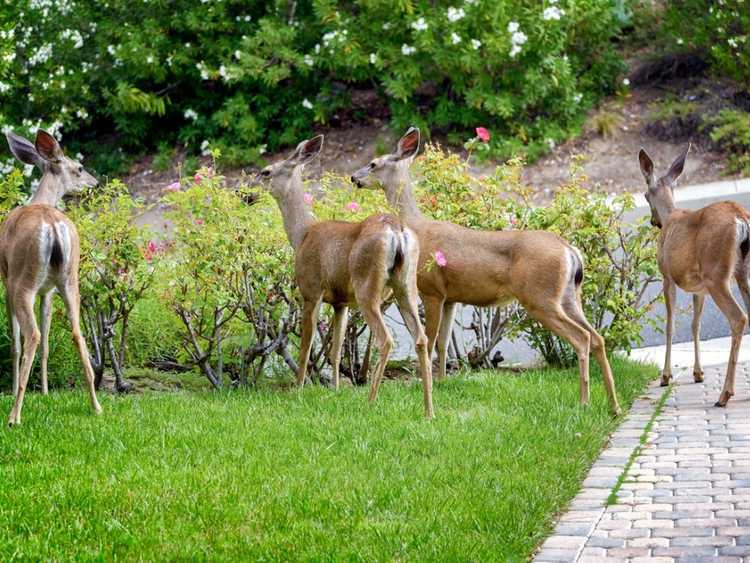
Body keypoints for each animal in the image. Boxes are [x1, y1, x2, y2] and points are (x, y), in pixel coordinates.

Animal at [3, 130, 103, 426]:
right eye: (79, 168)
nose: (95, 182)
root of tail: (52, 225)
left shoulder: (5, 279)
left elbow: (15, 342)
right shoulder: (47, 290)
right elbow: (48, 341)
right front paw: (46, 392)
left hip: (23, 281)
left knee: (32, 335)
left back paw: (14, 415)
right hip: (70, 280)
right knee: (76, 333)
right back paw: (96, 406)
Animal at [258, 135, 434, 418]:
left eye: (266, 172)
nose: (245, 193)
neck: (302, 235)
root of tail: (396, 229)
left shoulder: (311, 290)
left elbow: (306, 347)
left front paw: (298, 389)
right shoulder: (341, 302)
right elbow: (336, 349)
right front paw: (335, 390)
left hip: (367, 285)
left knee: (385, 339)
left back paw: (371, 402)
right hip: (406, 285)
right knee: (421, 338)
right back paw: (429, 410)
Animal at [352, 129, 624, 418]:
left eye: (373, 163)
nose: (354, 177)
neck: (416, 226)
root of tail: (569, 250)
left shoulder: (431, 290)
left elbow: (431, 339)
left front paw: (428, 385)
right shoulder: (450, 297)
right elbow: (444, 343)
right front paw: (443, 382)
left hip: (541, 297)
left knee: (582, 338)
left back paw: (584, 402)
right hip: (570, 296)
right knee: (597, 337)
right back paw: (614, 405)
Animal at [640, 145, 750, 406]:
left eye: (645, 195)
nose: (653, 221)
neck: (671, 215)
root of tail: (741, 218)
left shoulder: (667, 276)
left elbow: (670, 324)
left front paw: (665, 376)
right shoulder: (699, 288)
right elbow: (695, 325)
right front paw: (698, 373)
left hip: (717, 274)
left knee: (739, 318)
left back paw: (725, 394)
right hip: (742, 272)